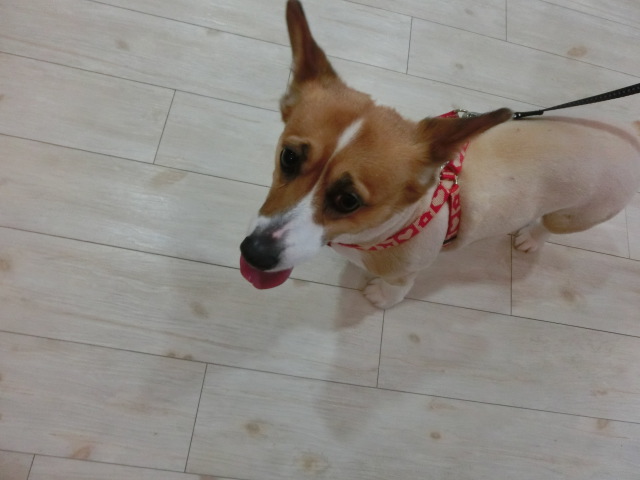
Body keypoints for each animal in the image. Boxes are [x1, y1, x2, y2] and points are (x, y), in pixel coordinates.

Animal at [240, 0, 640, 309]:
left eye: (349, 200)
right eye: (289, 158)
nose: (254, 253)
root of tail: (632, 132)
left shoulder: (405, 271)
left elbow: (396, 288)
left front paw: (380, 297)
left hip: (576, 216)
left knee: (550, 225)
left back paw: (531, 237)